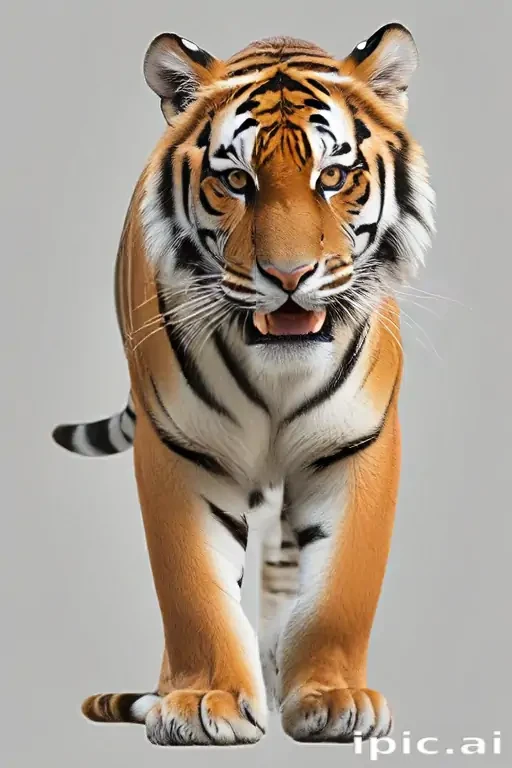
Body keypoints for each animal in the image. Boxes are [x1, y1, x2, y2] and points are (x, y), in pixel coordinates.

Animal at [52, 23, 435, 746]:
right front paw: (206, 701)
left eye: (332, 176)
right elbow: (193, 589)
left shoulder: (358, 446)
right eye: (235, 180)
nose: (289, 276)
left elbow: (341, 586)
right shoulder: (179, 451)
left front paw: (333, 697)